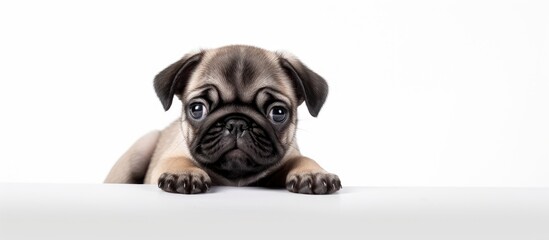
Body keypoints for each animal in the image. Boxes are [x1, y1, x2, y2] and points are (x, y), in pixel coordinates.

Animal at [105, 45, 340, 195]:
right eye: (197, 109)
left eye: (278, 112)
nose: (236, 123)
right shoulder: (170, 157)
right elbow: (176, 161)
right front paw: (185, 174)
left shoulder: (289, 155)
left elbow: (303, 159)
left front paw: (314, 173)